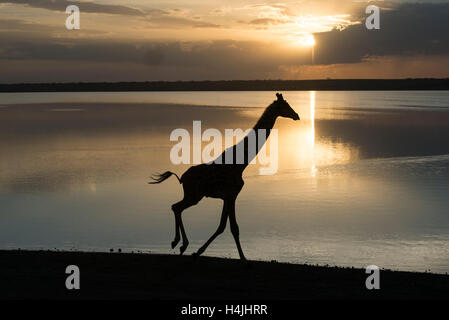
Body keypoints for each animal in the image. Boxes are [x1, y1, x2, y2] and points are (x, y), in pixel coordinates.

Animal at [149, 92, 300, 260]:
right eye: (285, 106)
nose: (297, 115)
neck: (241, 164)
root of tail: (182, 178)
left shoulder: (228, 196)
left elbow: (223, 226)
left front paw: (199, 251)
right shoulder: (232, 195)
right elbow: (233, 227)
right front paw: (243, 257)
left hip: (193, 196)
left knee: (176, 207)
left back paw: (180, 244)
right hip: (194, 196)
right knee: (176, 207)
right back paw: (180, 243)